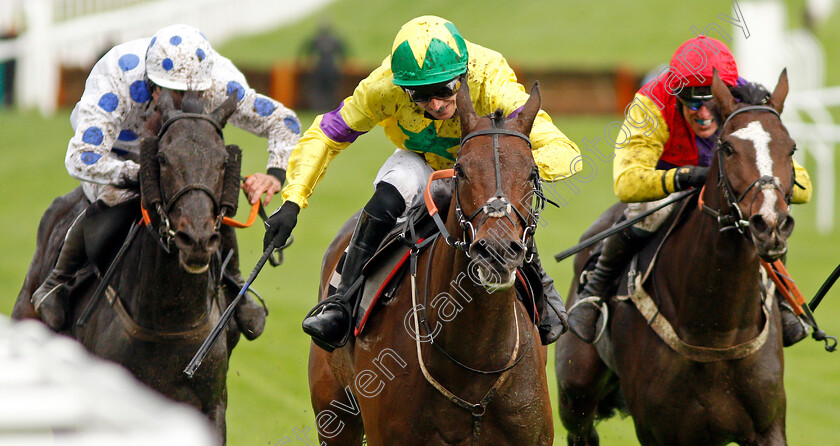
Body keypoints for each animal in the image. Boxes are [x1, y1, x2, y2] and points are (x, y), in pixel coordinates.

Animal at [556, 70, 796, 446]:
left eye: (792, 148)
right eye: (728, 148)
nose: (770, 223)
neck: (717, 330)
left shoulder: (767, 428)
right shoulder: (660, 431)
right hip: (575, 388)